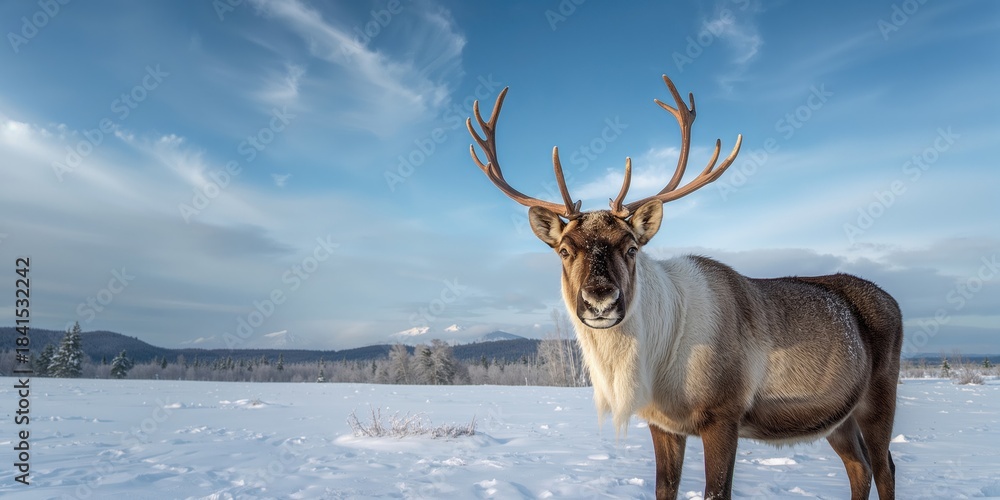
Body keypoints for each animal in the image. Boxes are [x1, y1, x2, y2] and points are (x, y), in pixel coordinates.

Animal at [465, 75, 902, 499]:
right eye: (564, 250)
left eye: (632, 247)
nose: (600, 299)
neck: (655, 366)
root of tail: (894, 301)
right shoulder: (663, 423)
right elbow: (665, 488)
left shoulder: (724, 415)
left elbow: (716, 492)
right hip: (839, 419)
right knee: (859, 468)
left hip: (879, 397)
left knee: (885, 467)